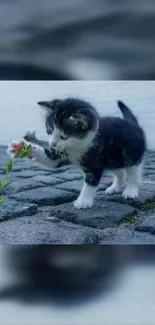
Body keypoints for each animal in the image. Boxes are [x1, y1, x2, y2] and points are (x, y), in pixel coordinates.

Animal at [7, 97, 145, 208]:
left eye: (64, 136)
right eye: (49, 131)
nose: (52, 144)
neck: (78, 146)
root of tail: (134, 124)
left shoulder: (96, 161)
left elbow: (90, 182)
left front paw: (83, 201)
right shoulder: (60, 154)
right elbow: (49, 159)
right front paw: (20, 147)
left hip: (132, 155)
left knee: (133, 173)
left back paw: (131, 190)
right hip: (113, 160)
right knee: (120, 172)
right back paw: (115, 187)